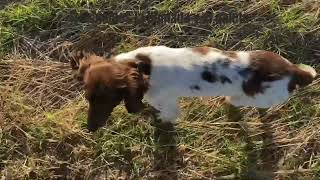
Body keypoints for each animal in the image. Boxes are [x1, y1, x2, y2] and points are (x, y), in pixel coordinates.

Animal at [70, 45, 318, 131]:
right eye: (88, 98)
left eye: (105, 100)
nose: (89, 129)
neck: (141, 67)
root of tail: (293, 71)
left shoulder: (167, 104)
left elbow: (165, 116)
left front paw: (157, 121)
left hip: (252, 97)